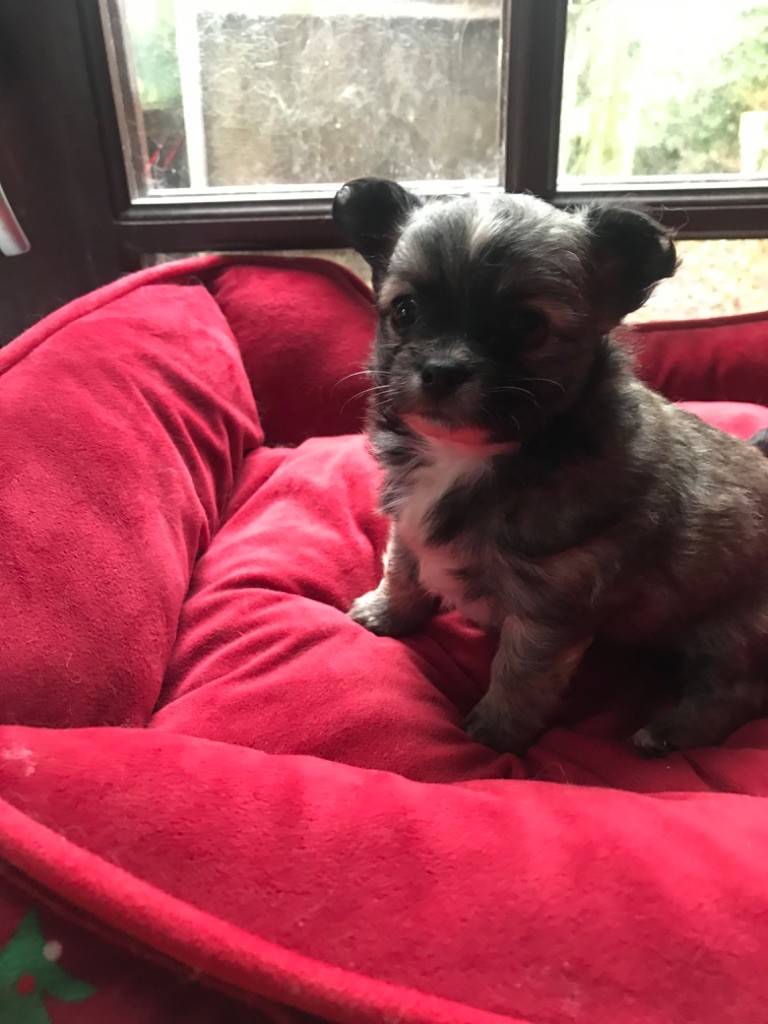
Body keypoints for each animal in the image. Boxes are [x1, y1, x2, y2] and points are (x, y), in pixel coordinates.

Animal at [333, 177, 768, 756]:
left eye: (527, 325)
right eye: (404, 310)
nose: (442, 371)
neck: (471, 456)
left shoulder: (550, 607)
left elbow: (520, 671)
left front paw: (498, 730)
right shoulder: (408, 525)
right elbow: (402, 570)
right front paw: (385, 613)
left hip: (726, 633)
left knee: (737, 692)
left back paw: (668, 732)